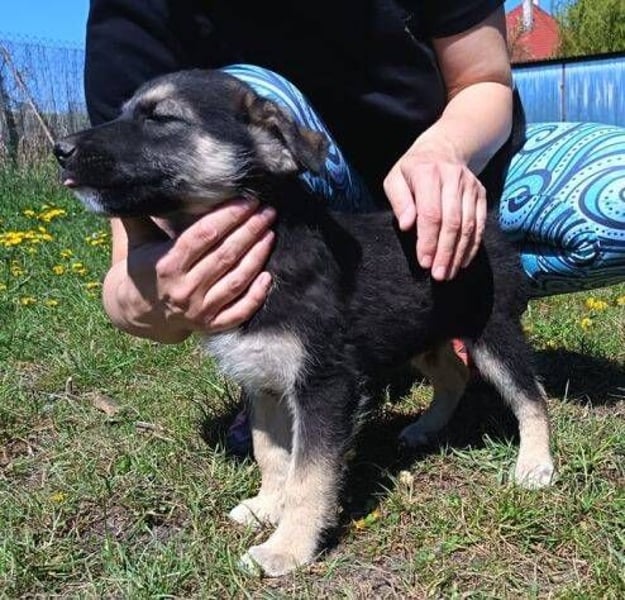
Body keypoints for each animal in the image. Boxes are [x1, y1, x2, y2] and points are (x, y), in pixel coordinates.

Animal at [54, 69, 555, 577]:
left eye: (161, 118)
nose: (60, 149)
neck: (272, 248)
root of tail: (485, 223)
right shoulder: (263, 379)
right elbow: (272, 455)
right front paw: (265, 506)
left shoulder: (324, 383)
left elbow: (307, 475)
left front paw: (286, 548)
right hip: (417, 333)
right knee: (452, 373)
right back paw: (425, 428)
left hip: (491, 329)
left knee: (530, 394)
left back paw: (535, 464)